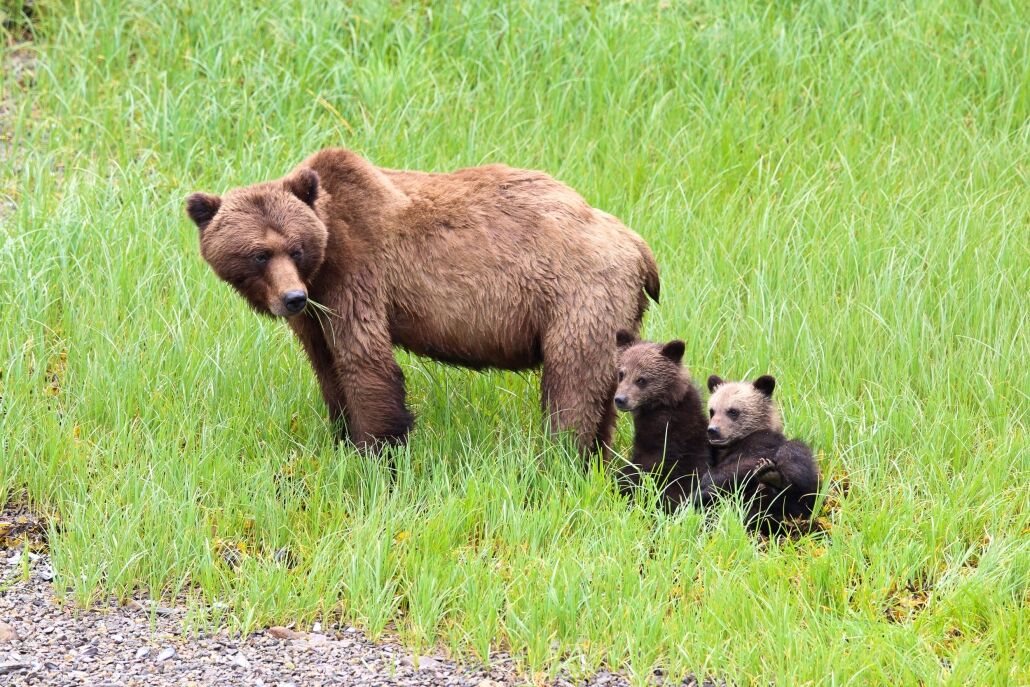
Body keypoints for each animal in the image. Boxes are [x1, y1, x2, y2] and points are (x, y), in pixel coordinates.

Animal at [185, 148, 659, 453]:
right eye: (258, 254)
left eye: (295, 248)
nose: (291, 298)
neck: (323, 262)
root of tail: (638, 246)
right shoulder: (316, 312)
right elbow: (327, 366)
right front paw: (342, 436)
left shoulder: (357, 275)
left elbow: (366, 363)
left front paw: (378, 450)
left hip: (579, 296)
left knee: (572, 382)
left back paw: (563, 454)